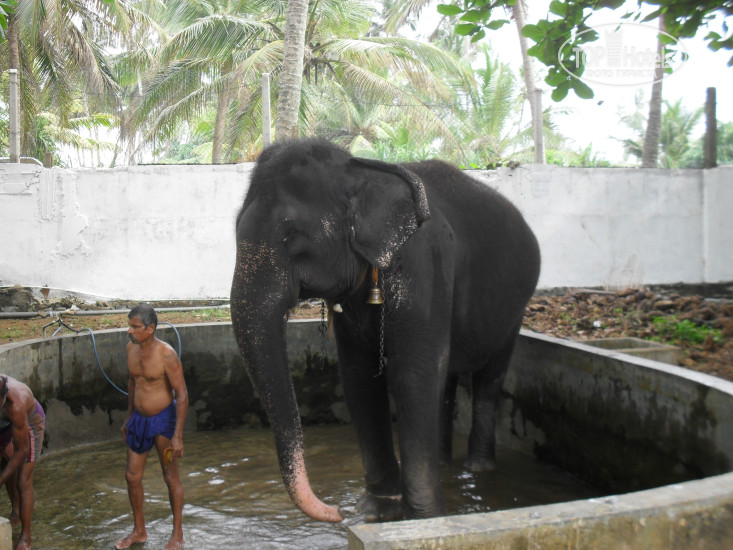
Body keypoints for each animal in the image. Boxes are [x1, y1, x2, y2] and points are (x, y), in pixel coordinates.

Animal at [230, 138, 540, 522]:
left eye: (291, 236)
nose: (337, 512)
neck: (359, 169)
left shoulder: (422, 263)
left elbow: (412, 374)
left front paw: (424, 518)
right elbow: (359, 377)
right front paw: (376, 509)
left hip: (516, 308)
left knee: (488, 378)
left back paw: (477, 468)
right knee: (447, 378)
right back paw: (444, 463)